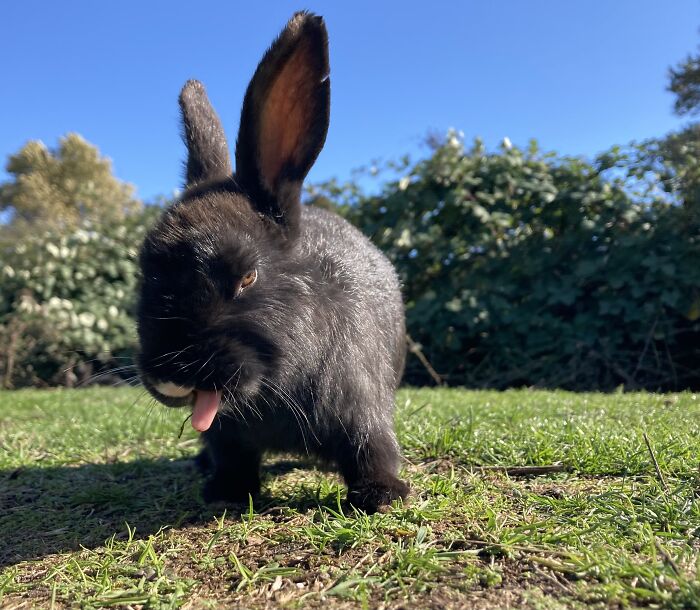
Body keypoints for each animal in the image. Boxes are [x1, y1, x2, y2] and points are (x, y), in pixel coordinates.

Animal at [136, 11, 409, 513]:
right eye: (145, 271)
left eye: (247, 276)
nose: (168, 377)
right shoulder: (228, 435)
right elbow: (232, 457)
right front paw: (224, 491)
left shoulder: (362, 411)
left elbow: (370, 451)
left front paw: (383, 495)